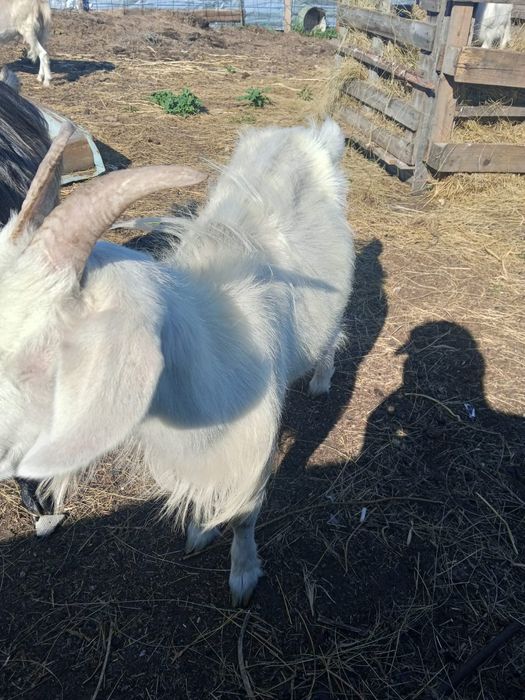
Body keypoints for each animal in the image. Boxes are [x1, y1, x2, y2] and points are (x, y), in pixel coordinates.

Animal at [0, 119, 354, 604]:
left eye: (45, 351)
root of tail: (305, 133)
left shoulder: (252, 444)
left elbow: (244, 514)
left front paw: (243, 576)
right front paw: (200, 532)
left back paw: (321, 379)